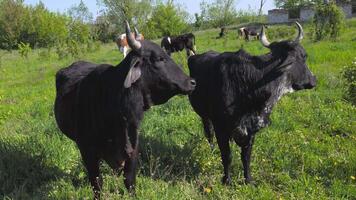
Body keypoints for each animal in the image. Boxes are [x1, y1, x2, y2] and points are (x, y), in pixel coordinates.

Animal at [54, 20, 196, 198]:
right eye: (159, 58)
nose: (192, 82)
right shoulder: (87, 151)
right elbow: (97, 184)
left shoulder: (133, 147)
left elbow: (129, 181)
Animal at [189, 21, 318, 184]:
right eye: (303, 57)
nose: (314, 80)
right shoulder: (221, 127)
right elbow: (227, 155)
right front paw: (227, 180)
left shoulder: (251, 130)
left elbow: (246, 157)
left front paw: (248, 180)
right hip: (204, 115)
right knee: (208, 133)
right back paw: (211, 151)